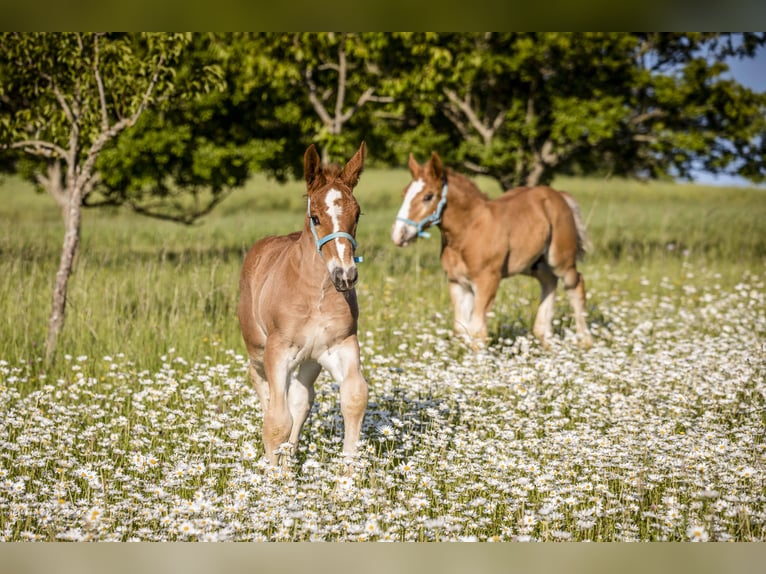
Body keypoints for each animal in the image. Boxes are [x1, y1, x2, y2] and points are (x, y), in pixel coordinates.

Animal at [240, 143, 372, 468]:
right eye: (315, 217)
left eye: (357, 215)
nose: (346, 275)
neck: (316, 295)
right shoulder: (278, 351)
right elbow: (276, 422)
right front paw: (274, 479)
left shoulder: (341, 345)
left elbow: (354, 399)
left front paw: (347, 479)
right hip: (258, 347)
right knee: (263, 387)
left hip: (311, 360)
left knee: (300, 399)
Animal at [392, 153, 596, 348]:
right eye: (403, 194)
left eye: (428, 196)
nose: (398, 235)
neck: (469, 230)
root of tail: (559, 195)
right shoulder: (457, 282)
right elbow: (461, 328)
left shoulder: (487, 281)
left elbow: (477, 332)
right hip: (534, 265)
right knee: (549, 281)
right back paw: (546, 338)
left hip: (560, 260)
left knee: (575, 284)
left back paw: (585, 341)